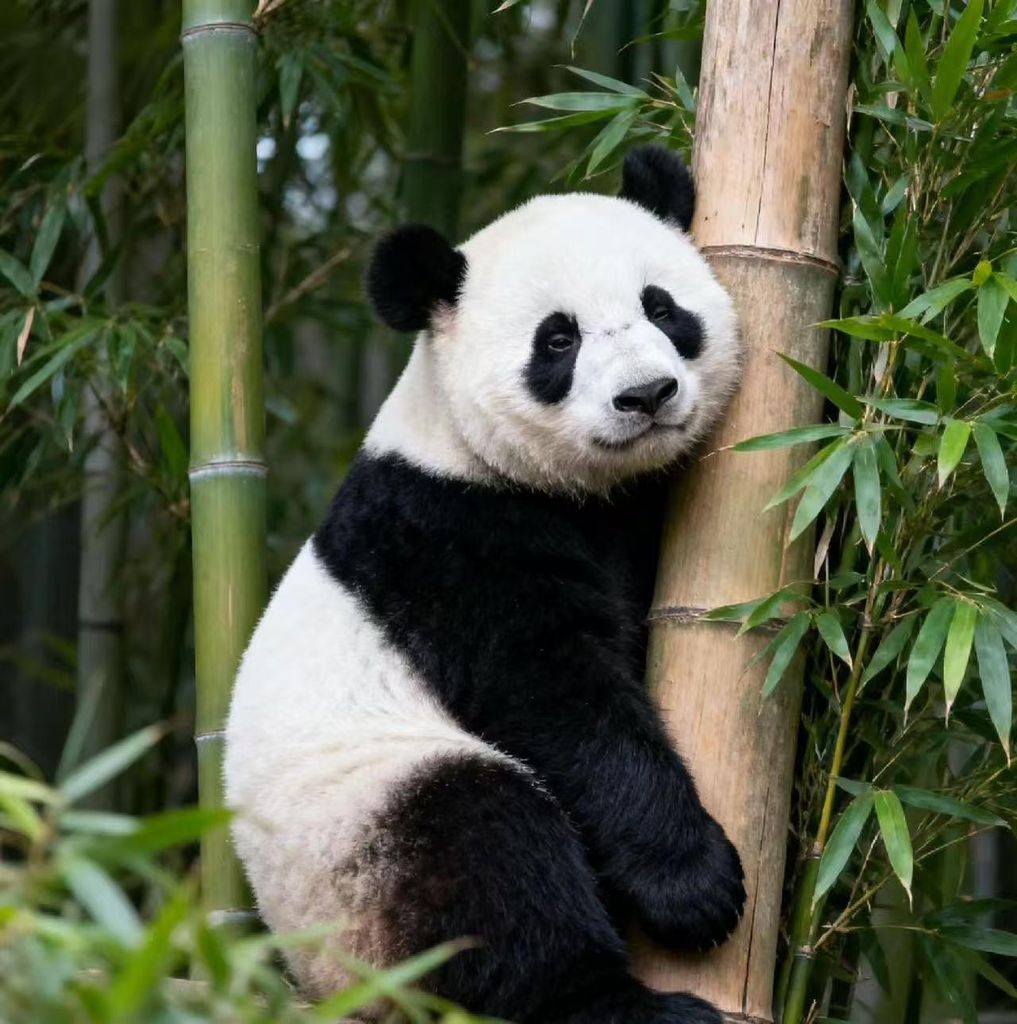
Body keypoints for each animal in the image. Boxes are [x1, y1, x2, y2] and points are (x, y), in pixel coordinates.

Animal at [224, 144, 745, 1024]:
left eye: (661, 306)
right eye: (557, 339)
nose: (646, 395)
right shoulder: (445, 535)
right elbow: (554, 695)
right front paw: (694, 885)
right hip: (357, 842)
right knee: (485, 860)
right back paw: (615, 1003)